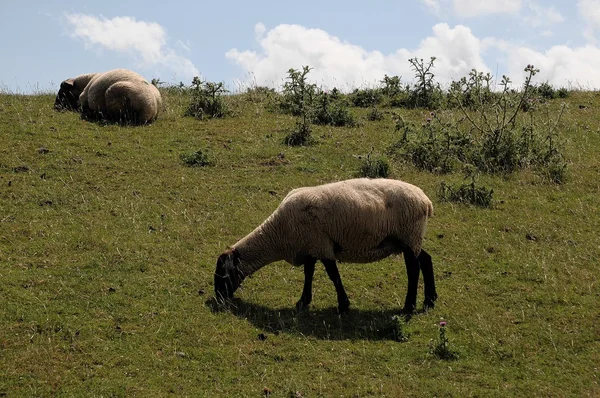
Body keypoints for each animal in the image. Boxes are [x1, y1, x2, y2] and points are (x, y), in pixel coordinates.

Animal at [213, 178, 438, 314]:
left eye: (224, 275)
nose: (218, 298)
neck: (278, 233)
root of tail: (426, 201)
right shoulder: (311, 246)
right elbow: (309, 273)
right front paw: (303, 301)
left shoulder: (321, 246)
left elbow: (333, 276)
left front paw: (343, 305)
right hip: (410, 239)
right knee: (426, 259)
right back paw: (430, 300)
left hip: (409, 236)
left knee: (413, 269)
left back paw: (409, 306)